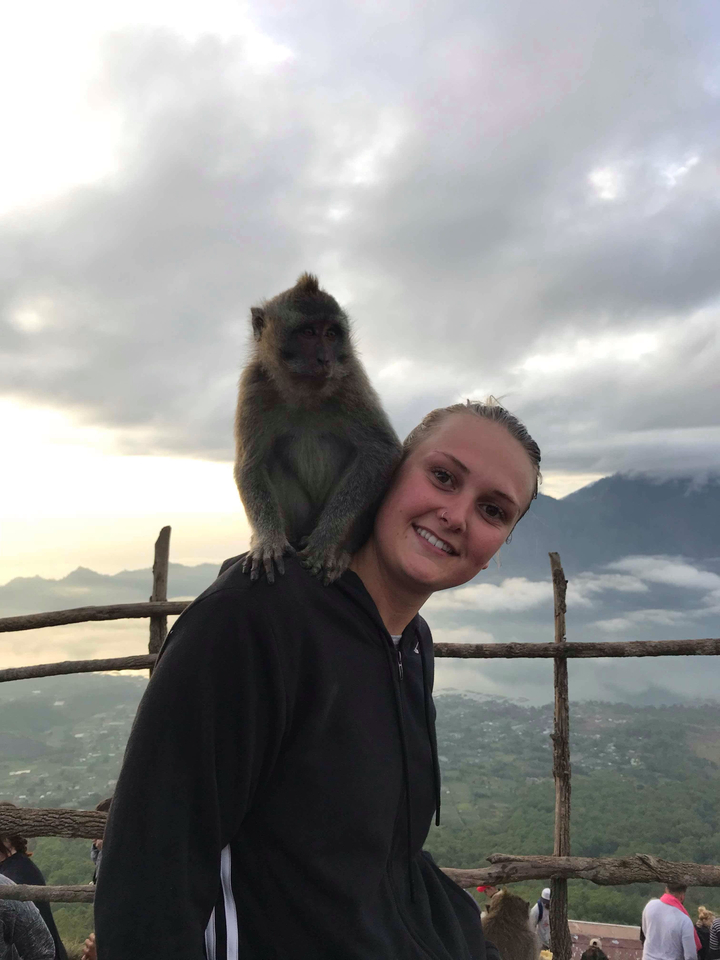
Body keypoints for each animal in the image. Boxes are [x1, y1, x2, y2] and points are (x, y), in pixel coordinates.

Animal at [234, 272, 402, 584]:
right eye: (309, 333)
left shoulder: (350, 380)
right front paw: (268, 542)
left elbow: (382, 451)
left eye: (331, 334)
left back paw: (341, 551)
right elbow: (251, 465)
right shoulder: (254, 385)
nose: (325, 359)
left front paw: (326, 543)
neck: (303, 391)